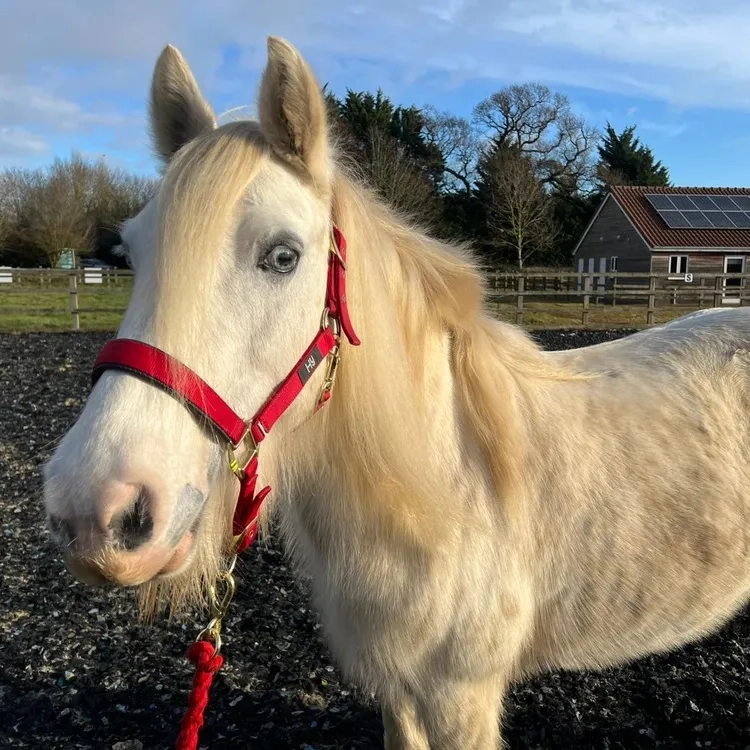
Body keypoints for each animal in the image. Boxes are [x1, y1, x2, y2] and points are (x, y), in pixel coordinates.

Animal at [42, 36, 750, 749]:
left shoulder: (461, 699)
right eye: (132, 254)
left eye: (283, 256)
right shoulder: (399, 693)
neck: (447, 486)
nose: (96, 511)